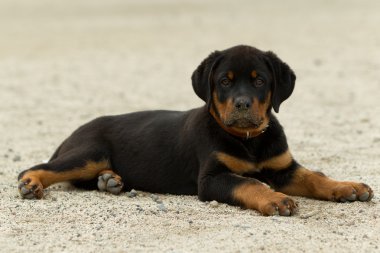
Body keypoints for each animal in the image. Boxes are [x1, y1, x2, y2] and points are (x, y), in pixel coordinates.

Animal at [18, 45, 374, 215]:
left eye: (259, 80)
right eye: (224, 82)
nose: (242, 104)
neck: (248, 141)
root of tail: (75, 131)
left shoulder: (282, 167)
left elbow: (315, 177)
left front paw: (347, 187)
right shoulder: (212, 178)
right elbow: (248, 183)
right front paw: (274, 199)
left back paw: (110, 181)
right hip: (89, 152)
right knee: (38, 167)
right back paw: (31, 184)